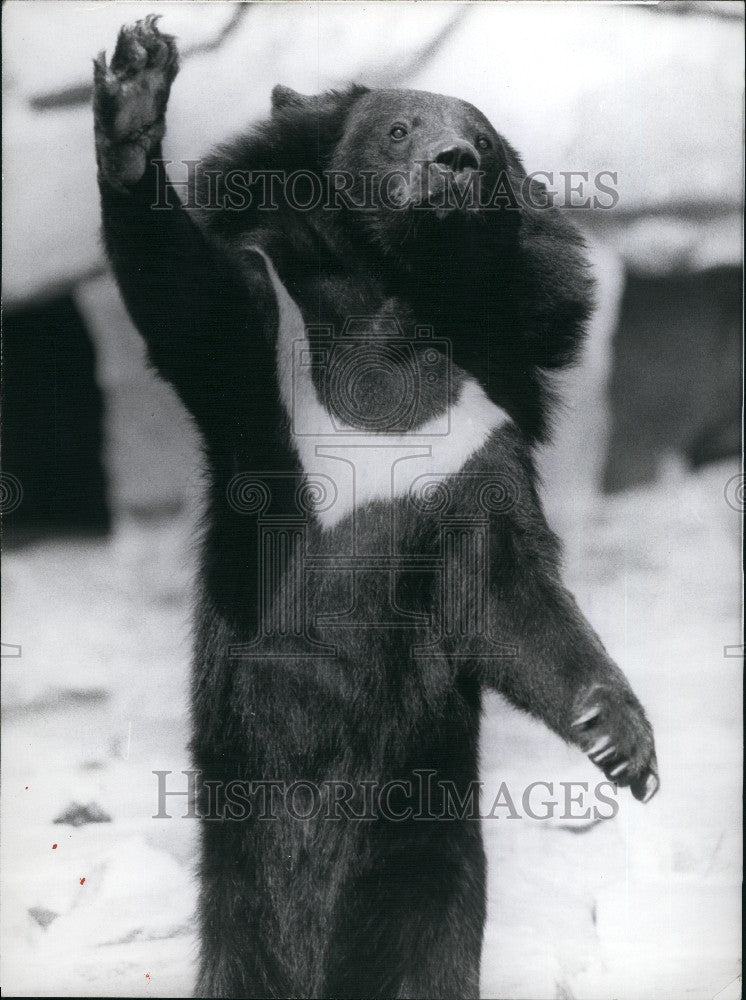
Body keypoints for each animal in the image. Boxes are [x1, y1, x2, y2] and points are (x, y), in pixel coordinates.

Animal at [93, 15, 656, 1000]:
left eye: (485, 143)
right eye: (399, 129)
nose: (453, 162)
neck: (397, 312)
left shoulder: (476, 442)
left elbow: (507, 595)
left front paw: (620, 738)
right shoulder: (269, 369)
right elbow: (188, 298)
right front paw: (133, 95)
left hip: (429, 846)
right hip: (239, 858)